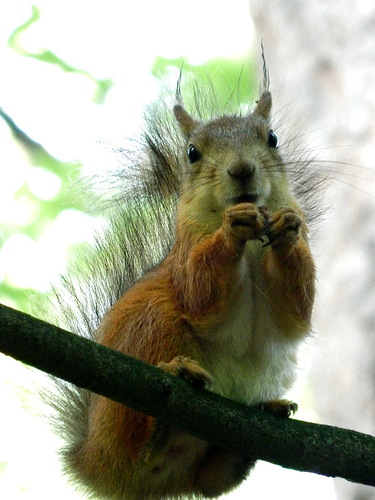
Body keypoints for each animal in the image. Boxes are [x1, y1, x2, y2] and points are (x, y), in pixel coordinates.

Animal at [53, 63, 318, 500]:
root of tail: (95, 462)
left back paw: (255, 427)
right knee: (141, 448)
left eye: (272, 138)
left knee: (209, 481)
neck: (252, 246)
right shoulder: (185, 256)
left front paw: (287, 229)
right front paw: (231, 229)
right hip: (151, 327)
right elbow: (200, 293)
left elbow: (295, 312)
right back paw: (166, 409)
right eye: (192, 153)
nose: (242, 169)